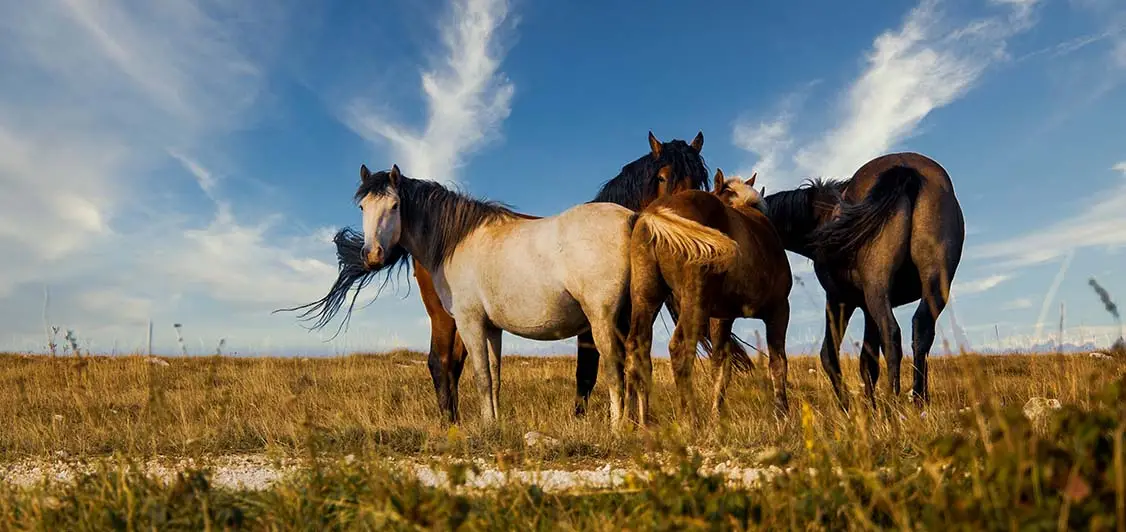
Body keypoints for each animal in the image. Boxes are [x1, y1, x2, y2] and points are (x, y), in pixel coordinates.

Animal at [348, 163, 642, 430]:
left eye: (395, 205)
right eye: (362, 207)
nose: (371, 255)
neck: (457, 242)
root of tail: (630, 219)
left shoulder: (470, 323)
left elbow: (482, 377)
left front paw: (487, 425)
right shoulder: (492, 328)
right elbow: (494, 377)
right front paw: (496, 422)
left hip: (602, 321)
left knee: (614, 370)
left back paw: (618, 428)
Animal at [625, 168, 792, 427]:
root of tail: (656, 213)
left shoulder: (721, 318)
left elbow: (721, 366)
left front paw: (716, 415)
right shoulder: (780, 310)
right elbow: (778, 363)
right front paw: (782, 415)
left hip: (645, 297)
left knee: (637, 347)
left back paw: (641, 422)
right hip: (694, 300)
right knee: (680, 349)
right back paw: (690, 419)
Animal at [762, 152, 965, 409]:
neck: (822, 216)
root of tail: (905, 169)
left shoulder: (840, 300)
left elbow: (831, 355)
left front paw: (850, 406)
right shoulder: (866, 309)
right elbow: (868, 361)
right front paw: (869, 405)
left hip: (876, 290)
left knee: (891, 334)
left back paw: (892, 403)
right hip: (934, 284)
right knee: (921, 329)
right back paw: (919, 400)